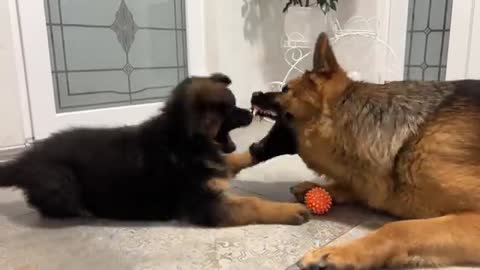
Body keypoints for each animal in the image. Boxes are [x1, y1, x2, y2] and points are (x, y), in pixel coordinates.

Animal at [0, 73, 310, 227]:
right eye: (231, 109)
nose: (249, 110)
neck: (184, 140)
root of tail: (25, 161)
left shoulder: (217, 165)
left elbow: (234, 158)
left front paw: (259, 149)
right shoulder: (206, 205)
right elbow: (252, 203)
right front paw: (289, 211)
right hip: (62, 183)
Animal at [249, 33, 480, 268]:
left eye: (286, 89)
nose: (254, 93)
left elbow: (399, 228)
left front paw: (339, 253)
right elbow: (355, 189)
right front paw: (318, 188)